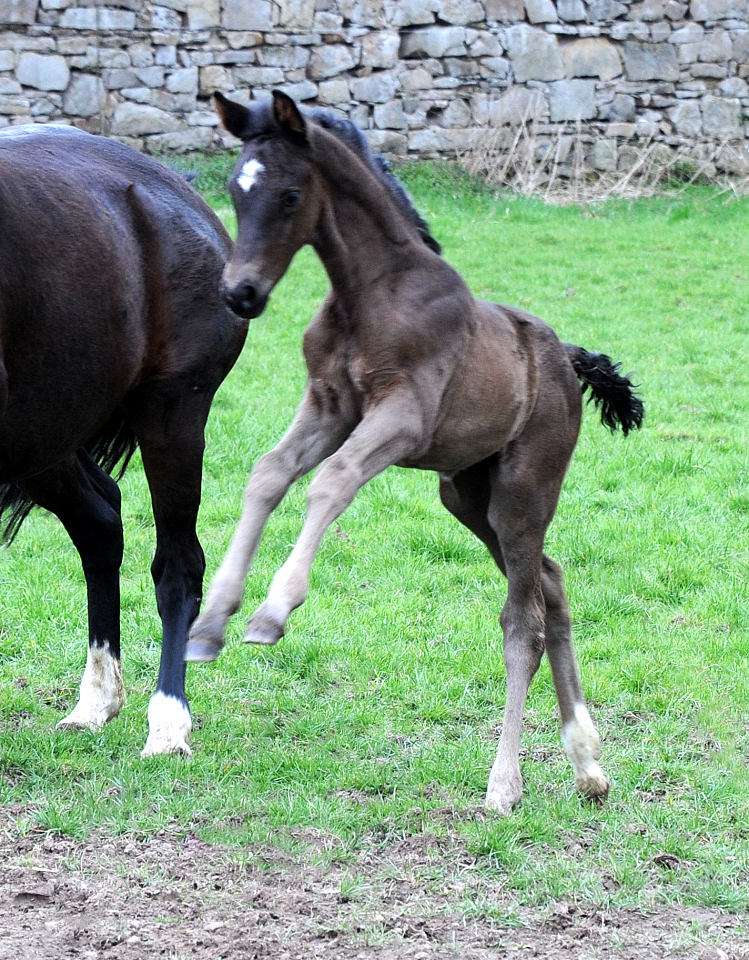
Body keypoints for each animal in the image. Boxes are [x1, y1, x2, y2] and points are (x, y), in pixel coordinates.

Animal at [0, 120, 248, 752]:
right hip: (44, 437)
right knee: (99, 524)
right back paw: (97, 701)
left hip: (171, 418)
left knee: (178, 566)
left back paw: (168, 722)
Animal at [186, 90, 644, 812]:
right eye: (236, 188)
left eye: (290, 194)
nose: (241, 293)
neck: (367, 292)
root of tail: (566, 359)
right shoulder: (328, 406)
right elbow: (268, 475)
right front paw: (210, 623)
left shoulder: (401, 416)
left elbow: (331, 481)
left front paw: (273, 611)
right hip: (467, 496)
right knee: (552, 585)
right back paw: (586, 764)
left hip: (523, 493)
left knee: (524, 623)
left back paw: (504, 785)